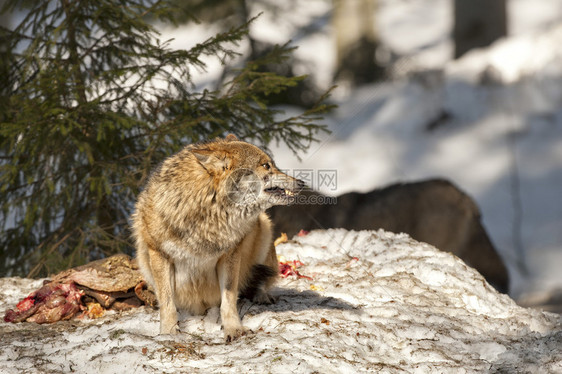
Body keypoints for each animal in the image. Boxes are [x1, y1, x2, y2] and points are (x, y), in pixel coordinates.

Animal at [131, 135, 302, 342]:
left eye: (272, 165)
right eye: (266, 165)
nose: (301, 182)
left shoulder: (230, 255)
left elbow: (228, 299)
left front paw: (234, 329)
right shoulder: (159, 253)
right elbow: (167, 302)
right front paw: (169, 333)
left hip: (265, 228)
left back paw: (262, 296)